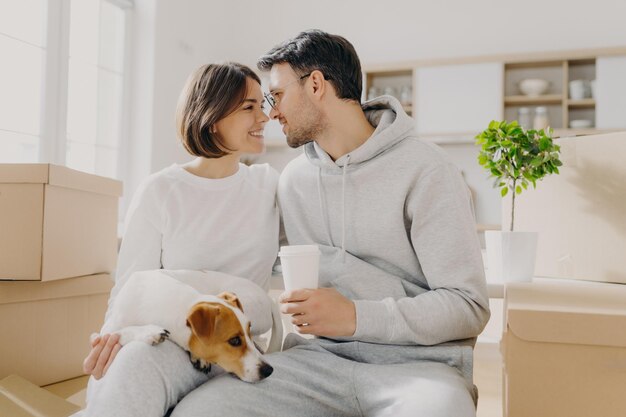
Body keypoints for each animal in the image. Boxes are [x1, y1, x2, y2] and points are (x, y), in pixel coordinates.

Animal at [97, 268, 276, 382]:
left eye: (248, 333)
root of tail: (268, 298)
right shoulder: (104, 333)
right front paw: (149, 332)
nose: (269, 370)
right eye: (234, 341)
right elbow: (123, 331)